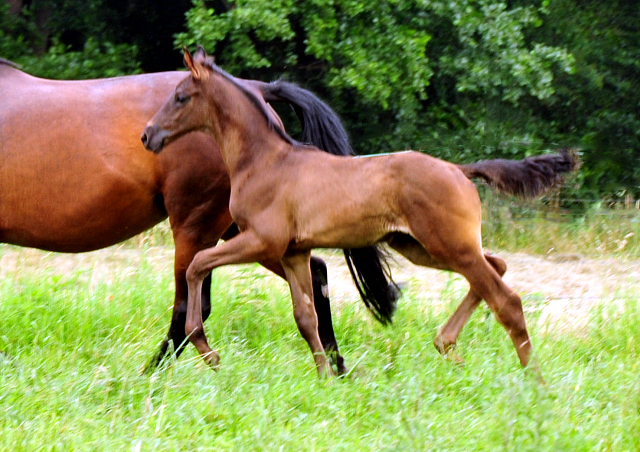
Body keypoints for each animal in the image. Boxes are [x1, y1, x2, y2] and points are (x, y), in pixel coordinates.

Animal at [0, 53, 398, 374]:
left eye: (180, 98)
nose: (148, 135)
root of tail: (257, 89)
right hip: (251, 235)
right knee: (314, 276)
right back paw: (336, 365)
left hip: (200, 228)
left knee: (187, 308)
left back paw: (152, 375)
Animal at [142, 47, 576, 376]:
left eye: (180, 96)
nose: (148, 135)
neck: (265, 161)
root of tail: (460, 170)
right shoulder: (294, 252)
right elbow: (306, 316)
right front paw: (324, 378)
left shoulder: (262, 242)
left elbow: (197, 264)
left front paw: (207, 349)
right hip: (420, 247)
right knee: (497, 268)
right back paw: (447, 345)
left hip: (449, 245)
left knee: (507, 300)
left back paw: (534, 381)